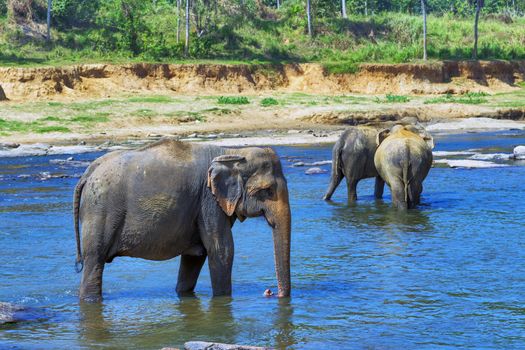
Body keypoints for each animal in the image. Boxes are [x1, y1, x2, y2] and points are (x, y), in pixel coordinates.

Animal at [73, 138, 290, 302]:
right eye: (267, 190)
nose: (271, 293)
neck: (232, 152)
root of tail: (88, 171)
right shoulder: (208, 201)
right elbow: (221, 250)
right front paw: (223, 299)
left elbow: (196, 255)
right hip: (99, 211)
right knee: (94, 260)